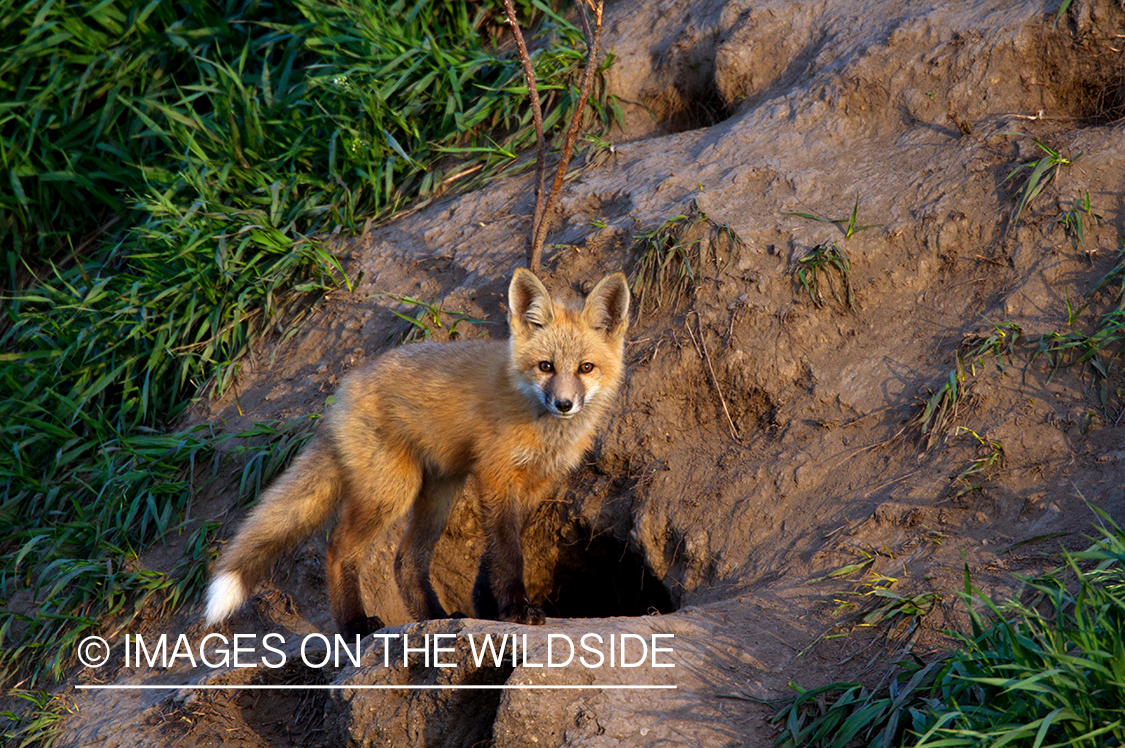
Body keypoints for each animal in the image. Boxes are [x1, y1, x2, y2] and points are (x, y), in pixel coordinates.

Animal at [205, 268, 630, 636]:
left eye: (586, 368)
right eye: (545, 366)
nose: (564, 404)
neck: (543, 428)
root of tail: (344, 390)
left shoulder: (535, 484)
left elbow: (493, 555)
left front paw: (488, 606)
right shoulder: (496, 476)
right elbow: (508, 553)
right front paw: (515, 608)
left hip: (440, 492)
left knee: (405, 560)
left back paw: (434, 616)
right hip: (393, 492)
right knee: (340, 547)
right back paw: (353, 624)